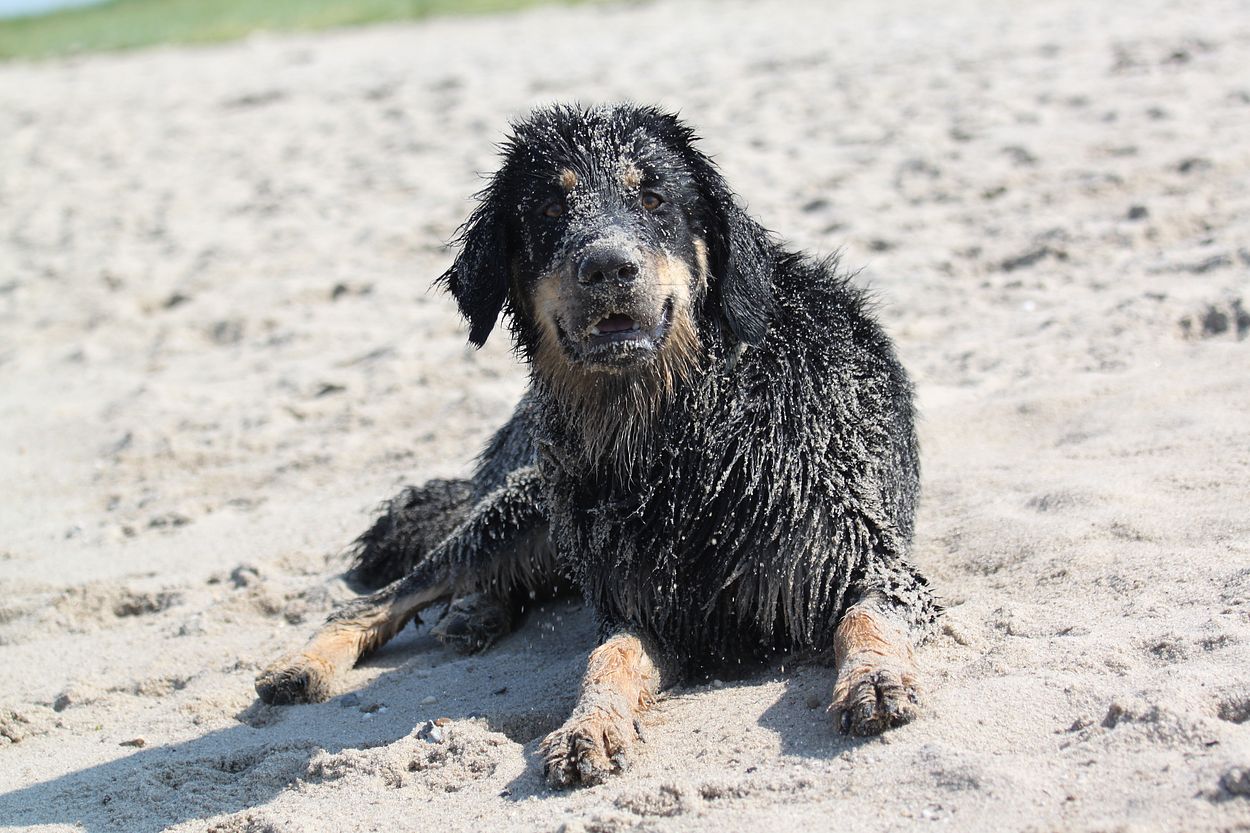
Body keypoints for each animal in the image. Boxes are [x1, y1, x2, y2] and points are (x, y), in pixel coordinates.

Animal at [255, 103, 940, 787]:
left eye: (656, 199)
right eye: (549, 210)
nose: (608, 267)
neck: (683, 436)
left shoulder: (857, 556)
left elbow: (867, 616)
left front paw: (874, 678)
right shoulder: (647, 604)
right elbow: (608, 658)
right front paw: (591, 725)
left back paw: (474, 614)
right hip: (529, 502)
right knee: (391, 593)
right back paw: (317, 660)